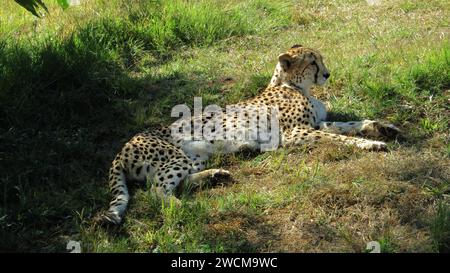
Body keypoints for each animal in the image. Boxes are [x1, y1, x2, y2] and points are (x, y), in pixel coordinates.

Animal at [100, 44, 400, 223]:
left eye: (321, 60)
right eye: (313, 62)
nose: (327, 74)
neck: (292, 86)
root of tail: (123, 147)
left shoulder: (315, 125)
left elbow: (347, 125)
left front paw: (381, 128)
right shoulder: (295, 133)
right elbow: (340, 137)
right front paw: (369, 144)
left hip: (194, 157)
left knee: (178, 182)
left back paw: (215, 175)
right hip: (174, 158)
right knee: (156, 191)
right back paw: (187, 207)